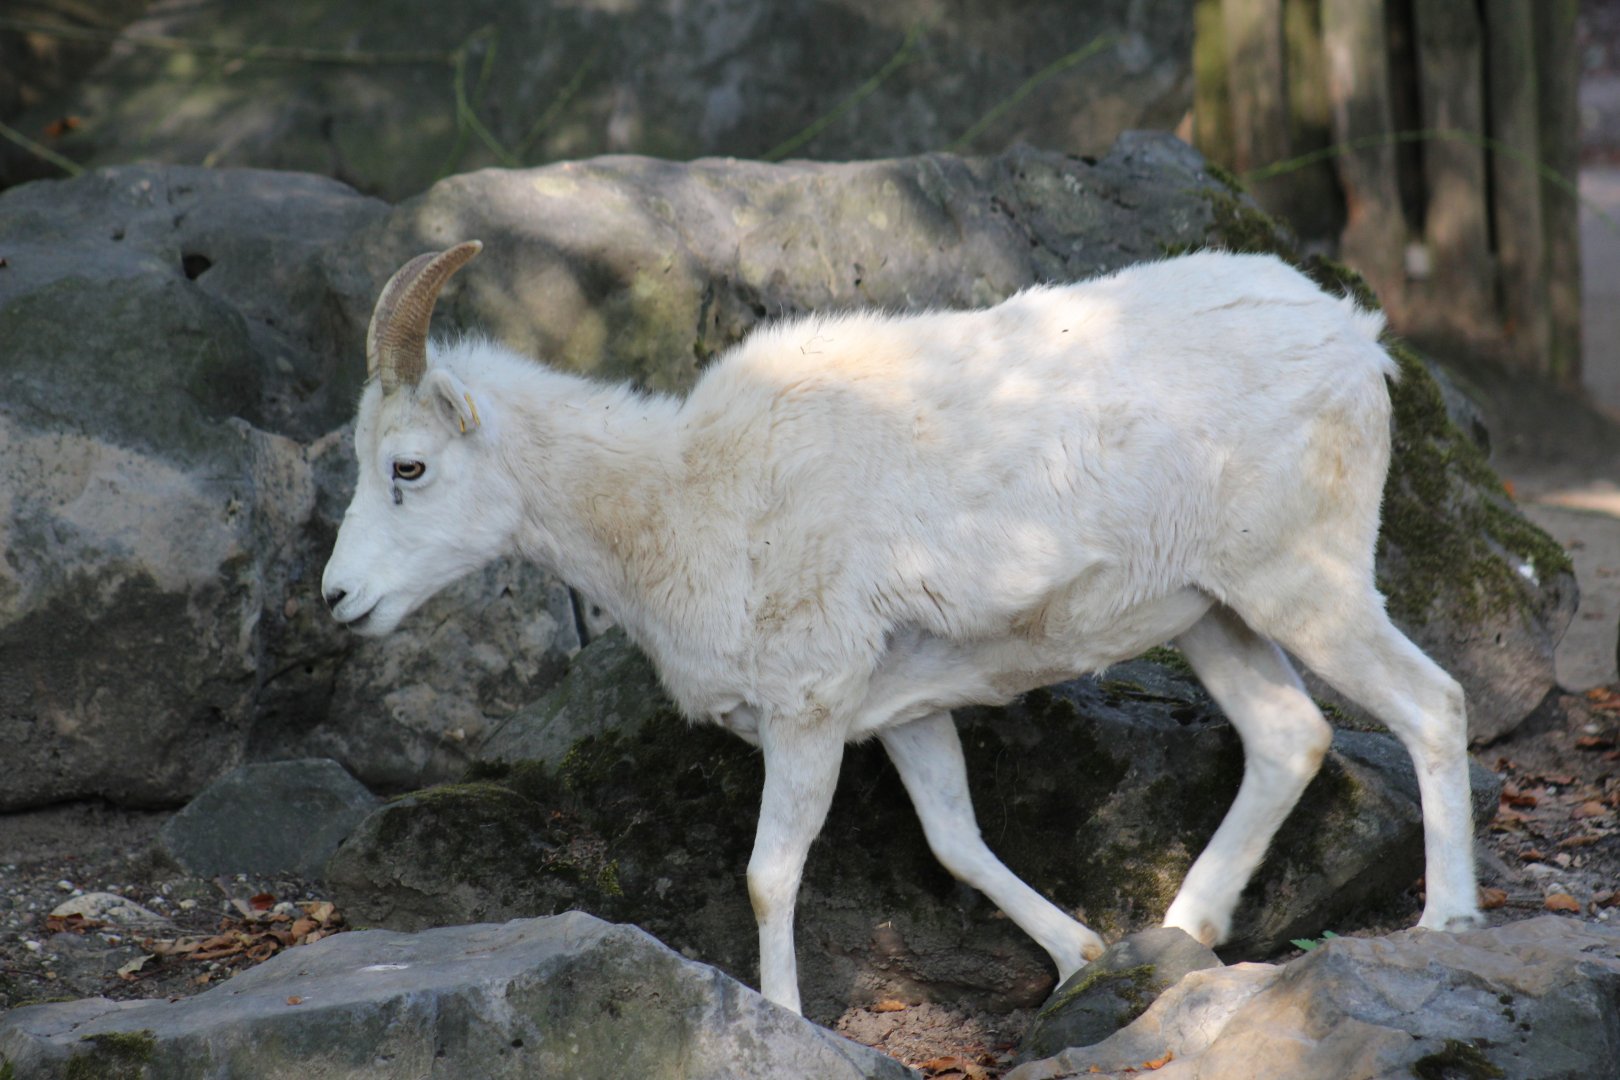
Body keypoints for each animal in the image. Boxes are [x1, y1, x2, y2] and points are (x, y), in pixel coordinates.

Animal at [322, 240, 1484, 1015]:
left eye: (408, 466)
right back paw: (1179, 933)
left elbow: (770, 874)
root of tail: (1356, 341)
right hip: (1217, 616)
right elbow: (956, 842)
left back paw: (1448, 923)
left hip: (1306, 584)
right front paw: (1081, 957)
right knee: (1291, 736)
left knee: (1432, 704)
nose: (338, 599)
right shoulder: (902, 714)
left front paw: (784, 1018)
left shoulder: (808, 712)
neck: (687, 495)